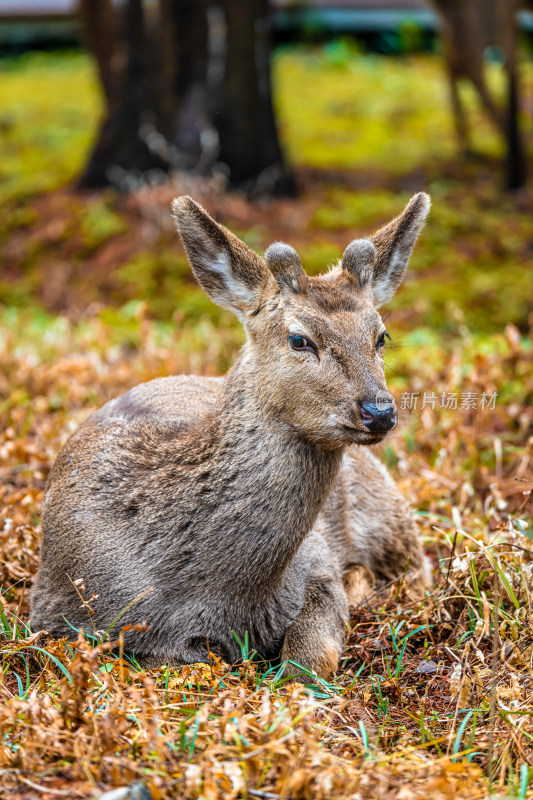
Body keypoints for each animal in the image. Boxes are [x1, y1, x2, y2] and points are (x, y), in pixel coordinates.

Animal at [29, 192, 430, 676]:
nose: (379, 412)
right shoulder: (59, 615)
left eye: (381, 336)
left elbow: (310, 656)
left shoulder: (317, 562)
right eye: (299, 339)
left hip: (390, 513)